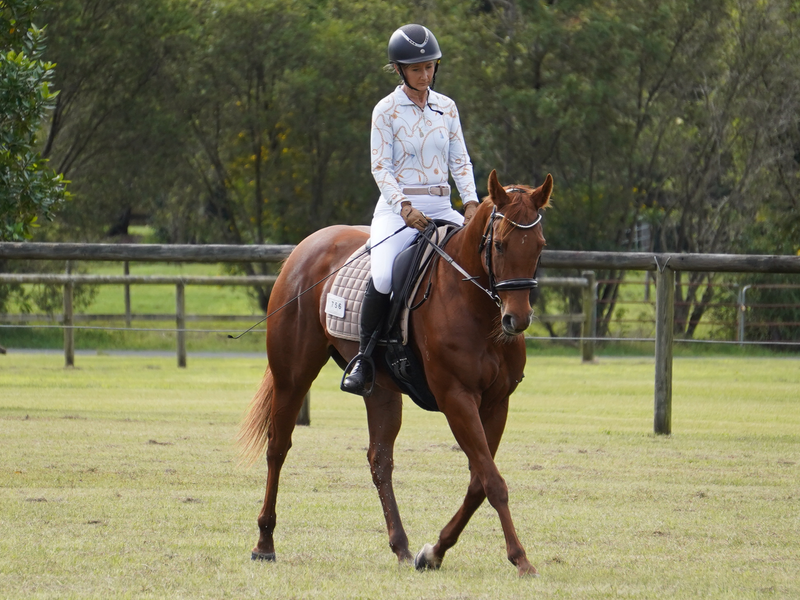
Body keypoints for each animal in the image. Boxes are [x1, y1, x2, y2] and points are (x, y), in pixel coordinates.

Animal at [238, 169, 552, 577]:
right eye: (499, 245)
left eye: (540, 247)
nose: (517, 319)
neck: (477, 309)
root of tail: (307, 245)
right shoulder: (457, 398)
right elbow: (492, 481)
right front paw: (520, 558)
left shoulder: (496, 403)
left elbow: (479, 481)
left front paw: (433, 552)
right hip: (292, 376)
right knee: (278, 447)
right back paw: (264, 543)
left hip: (381, 390)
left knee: (379, 460)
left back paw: (401, 546)